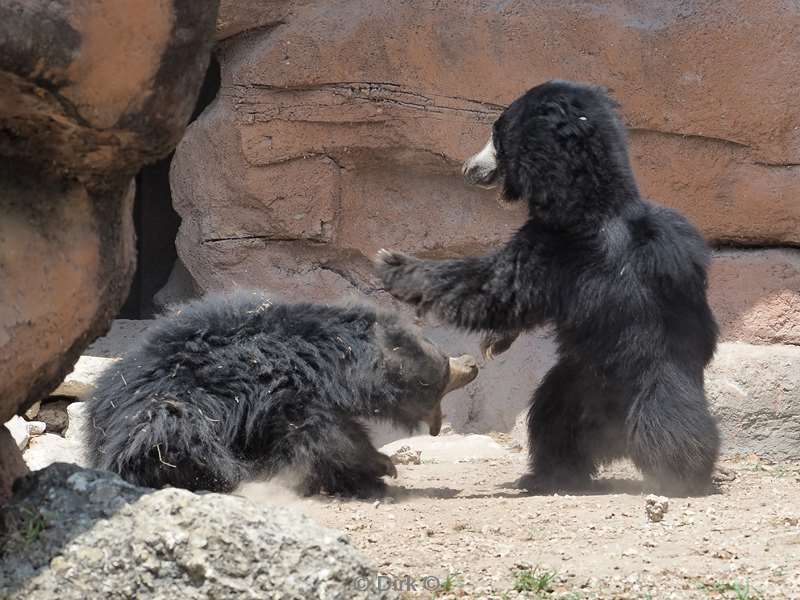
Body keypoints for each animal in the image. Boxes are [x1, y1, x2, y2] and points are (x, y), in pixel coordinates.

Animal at [86, 292, 482, 496]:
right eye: (440, 371)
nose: (471, 363)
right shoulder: (285, 391)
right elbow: (326, 435)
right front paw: (381, 467)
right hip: (173, 423)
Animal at [378, 79, 720, 494]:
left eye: (496, 136)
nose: (468, 168)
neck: (593, 199)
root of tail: (614, 434)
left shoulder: (554, 247)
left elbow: (494, 286)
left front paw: (393, 264)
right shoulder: (679, 240)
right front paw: (495, 342)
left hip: (640, 377)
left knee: (663, 419)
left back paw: (678, 475)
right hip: (578, 380)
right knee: (553, 419)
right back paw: (552, 472)